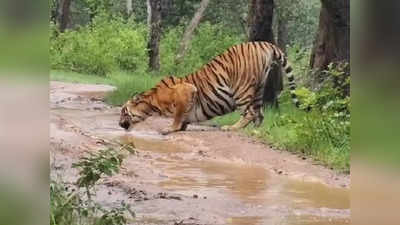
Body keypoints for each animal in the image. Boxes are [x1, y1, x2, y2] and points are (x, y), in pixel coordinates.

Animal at [119, 41, 300, 134]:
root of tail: (263, 43)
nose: (120, 124)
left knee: (249, 113)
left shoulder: (186, 90)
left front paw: (170, 128)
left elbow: (178, 115)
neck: (152, 102)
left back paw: (231, 128)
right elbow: (183, 117)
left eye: (123, 111)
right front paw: (180, 127)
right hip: (259, 89)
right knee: (260, 114)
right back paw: (255, 131)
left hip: (241, 89)